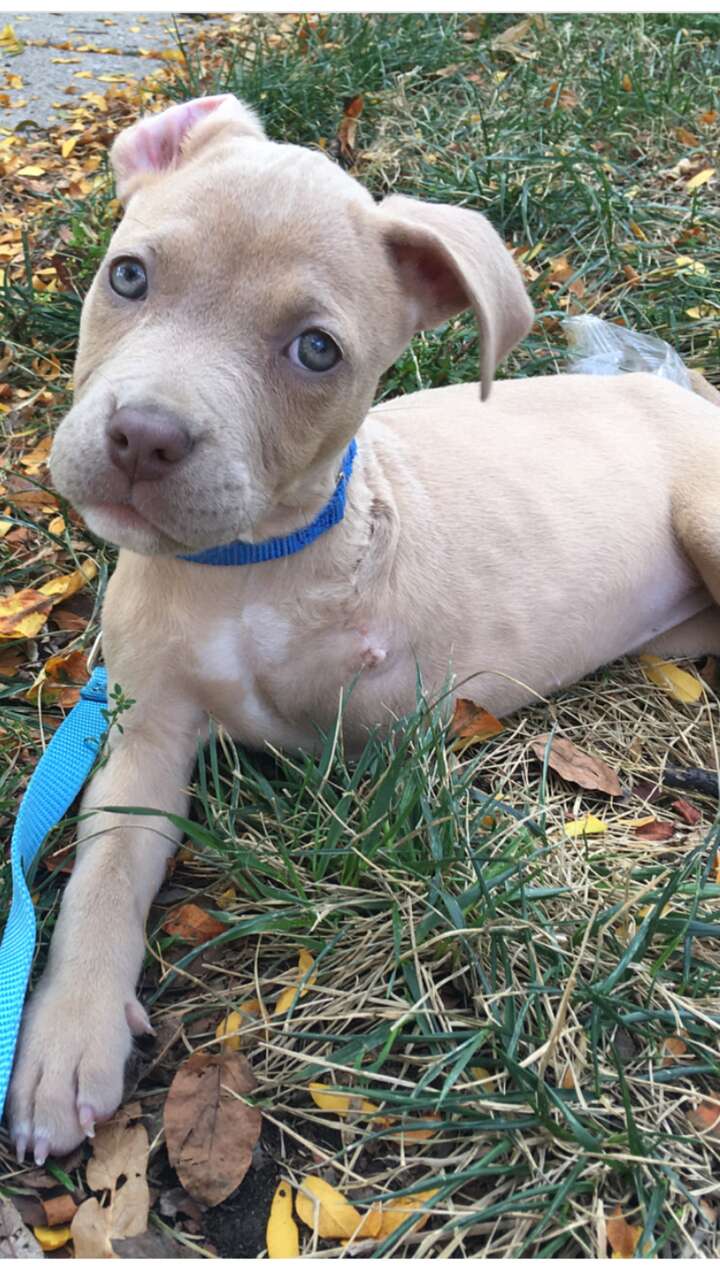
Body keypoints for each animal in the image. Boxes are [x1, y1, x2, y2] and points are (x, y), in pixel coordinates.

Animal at [7, 97, 717, 1162]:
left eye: (315, 350)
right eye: (128, 275)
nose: (143, 437)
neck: (242, 573)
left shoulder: (391, 726)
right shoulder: (143, 733)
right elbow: (105, 870)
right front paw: (66, 1037)